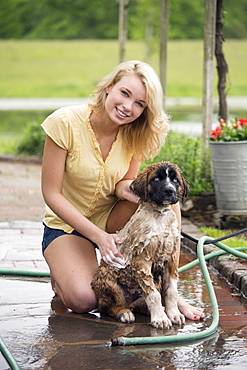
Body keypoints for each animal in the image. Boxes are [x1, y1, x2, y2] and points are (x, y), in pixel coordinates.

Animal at [91, 160, 190, 328]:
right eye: (156, 179)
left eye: (175, 180)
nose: (169, 191)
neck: (159, 215)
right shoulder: (142, 259)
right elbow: (153, 294)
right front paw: (160, 318)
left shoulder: (170, 259)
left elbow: (171, 291)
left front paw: (174, 314)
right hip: (109, 281)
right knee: (109, 306)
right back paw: (124, 313)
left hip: (155, 281)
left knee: (138, 303)